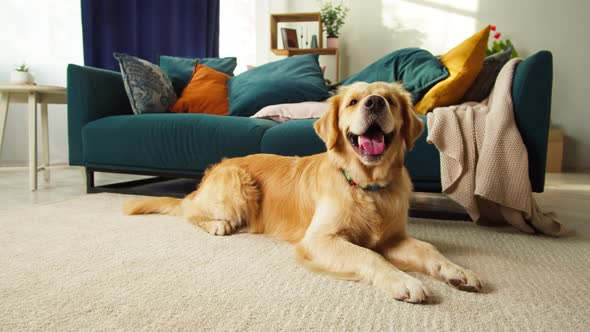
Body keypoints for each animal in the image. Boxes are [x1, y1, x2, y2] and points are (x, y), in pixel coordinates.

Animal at [123, 81, 480, 302]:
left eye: (390, 100)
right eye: (353, 101)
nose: (375, 103)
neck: (367, 185)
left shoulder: (394, 237)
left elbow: (429, 249)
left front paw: (458, 271)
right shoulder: (320, 238)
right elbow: (370, 255)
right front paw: (403, 280)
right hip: (238, 184)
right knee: (189, 210)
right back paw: (217, 224)